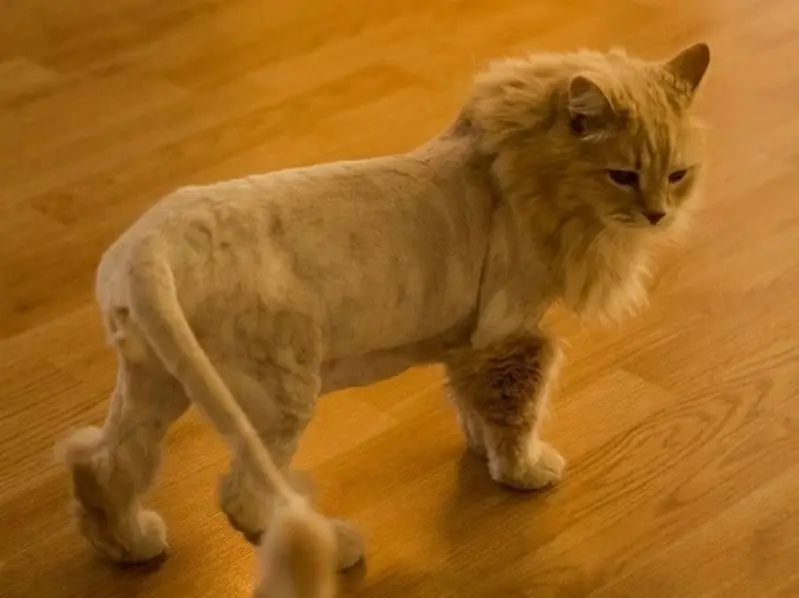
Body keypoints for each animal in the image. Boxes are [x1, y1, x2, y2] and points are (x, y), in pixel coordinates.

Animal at [56, 42, 710, 597]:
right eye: (622, 176)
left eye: (678, 176)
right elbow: (515, 410)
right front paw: (522, 472)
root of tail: (147, 248)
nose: (657, 215)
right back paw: (337, 549)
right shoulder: (509, 336)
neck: (526, 175)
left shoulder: (468, 341)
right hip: (278, 392)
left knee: (102, 463)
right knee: (244, 497)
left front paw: (480, 452)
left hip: (157, 381)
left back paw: (131, 546)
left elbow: (472, 402)